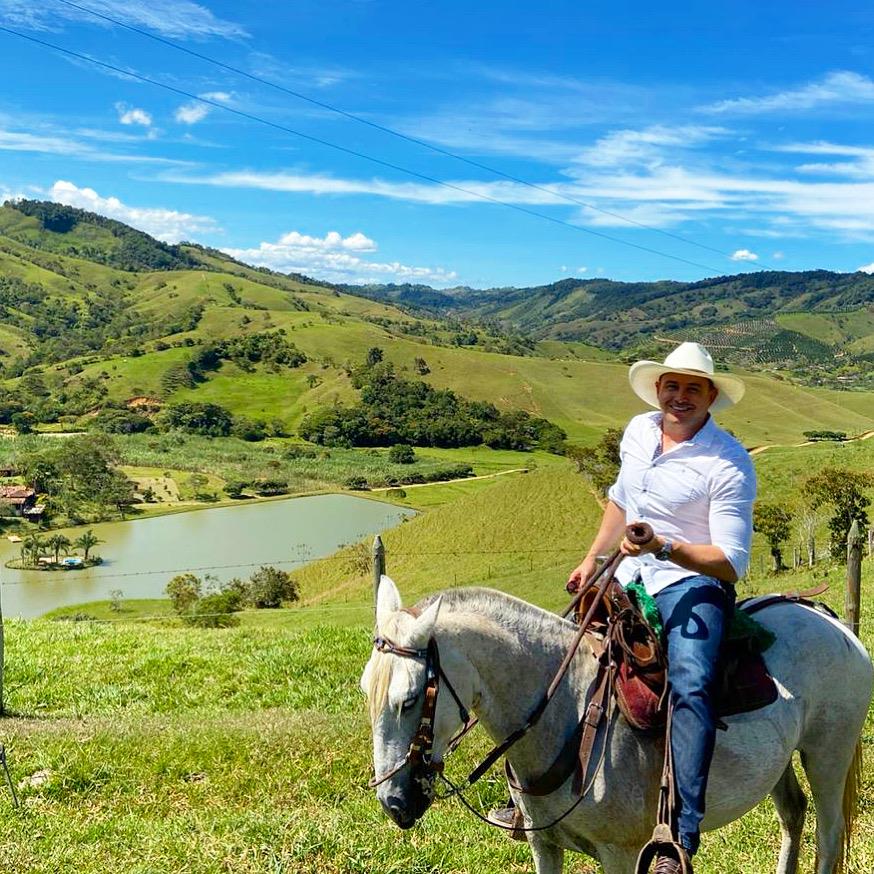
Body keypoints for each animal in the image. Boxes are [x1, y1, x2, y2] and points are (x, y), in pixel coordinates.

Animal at [361, 575, 872, 874]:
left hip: (828, 756)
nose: (394, 803)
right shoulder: (544, 846)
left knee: (828, 836)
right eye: (366, 692)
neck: (568, 711)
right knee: (793, 814)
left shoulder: (622, 853)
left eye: (410, 700)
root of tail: (829, 620)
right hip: (779, 763)